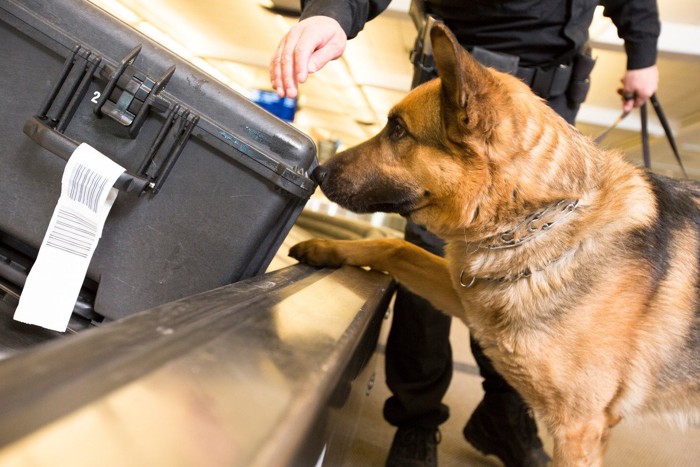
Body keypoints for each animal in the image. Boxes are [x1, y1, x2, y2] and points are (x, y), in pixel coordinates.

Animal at [288, 22, 700, 467]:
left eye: (398, 130)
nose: (318, 172)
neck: (541, 220)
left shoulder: (579, 430)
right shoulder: (460, 293)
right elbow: (397, 248)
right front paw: (325, 247)